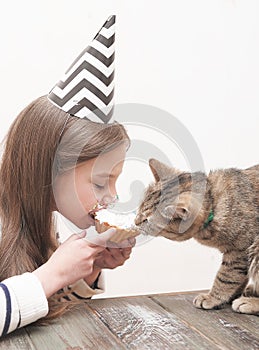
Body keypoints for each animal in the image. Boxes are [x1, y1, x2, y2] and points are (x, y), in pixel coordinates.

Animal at [136, 158, 259, 314]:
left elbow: (226, 277)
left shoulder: (239, 251)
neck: (214, 202)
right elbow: (239, 279)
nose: (135, 221)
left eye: (147, 220)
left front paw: (213, 297)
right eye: (140, 207)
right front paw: (231, 295)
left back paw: (249, 302)